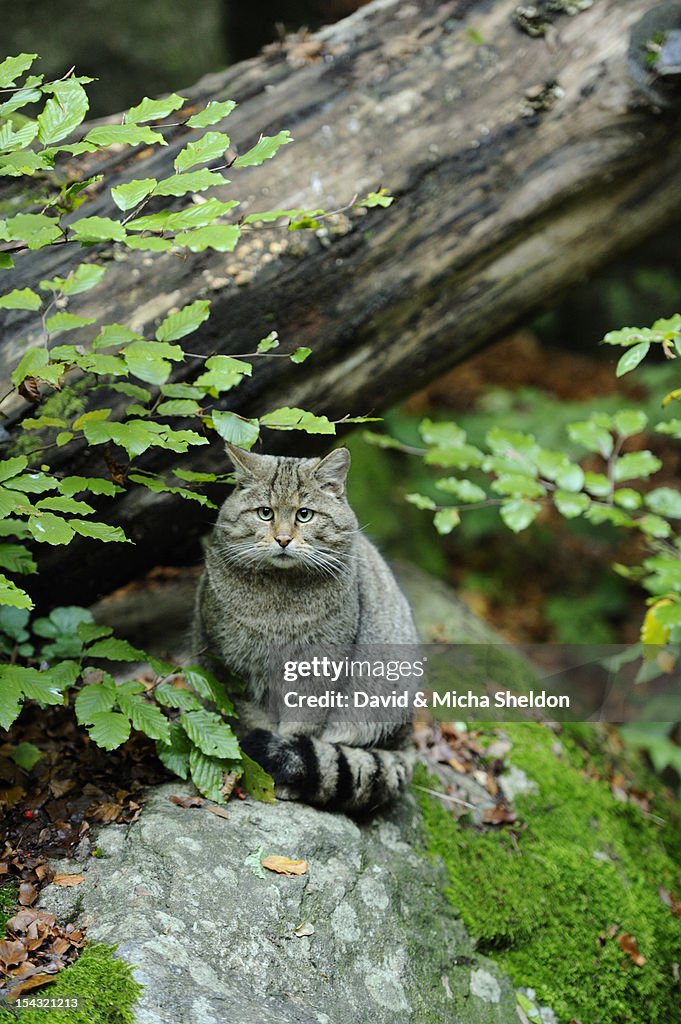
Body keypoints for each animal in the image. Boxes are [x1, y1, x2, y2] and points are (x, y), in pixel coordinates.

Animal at [192, 444, 419, 811]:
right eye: (265, 513)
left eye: (304, 514)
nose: (283, 539)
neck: (280, 599)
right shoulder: (235, 668)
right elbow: (252, 720)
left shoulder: (317, 672)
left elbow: (299, 728)